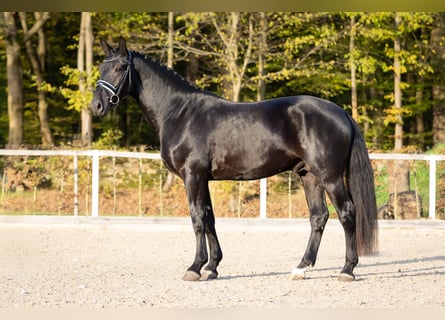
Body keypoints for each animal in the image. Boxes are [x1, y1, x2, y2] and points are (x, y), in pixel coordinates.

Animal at [91, 37, 378, 282]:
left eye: (119, 67)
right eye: (101, 67)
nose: (96, 106)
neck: (180, 113)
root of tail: (341, 112)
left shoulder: (192, 175)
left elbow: (197, 218)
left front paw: (194, 268)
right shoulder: (202, 178)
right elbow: (209, 218)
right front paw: (212, 267)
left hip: (330, 177)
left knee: (346, 213)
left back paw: (347, 270)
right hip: (309, 176)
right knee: (318, 217)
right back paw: (301, 268)